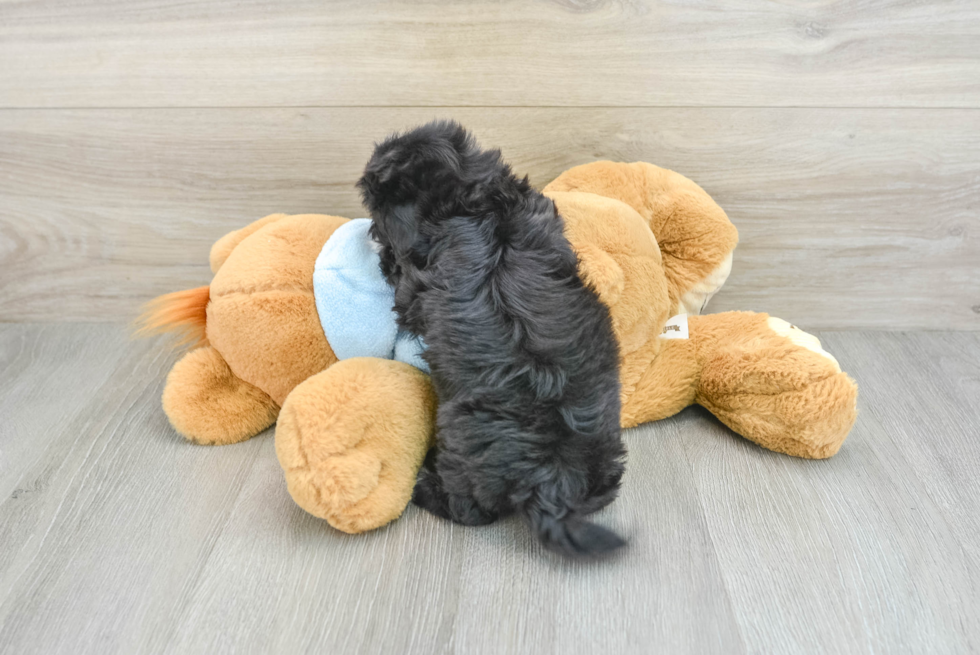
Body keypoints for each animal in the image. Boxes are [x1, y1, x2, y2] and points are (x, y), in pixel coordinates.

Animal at [356, 120, 624, 556]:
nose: (367, 171)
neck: (473, 199)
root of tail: (551, 474)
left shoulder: (414, 285)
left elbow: (401, 284)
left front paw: (384, 255)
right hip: (605, 456)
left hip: (460, 452)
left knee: (469, 510)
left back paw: (425, 487)